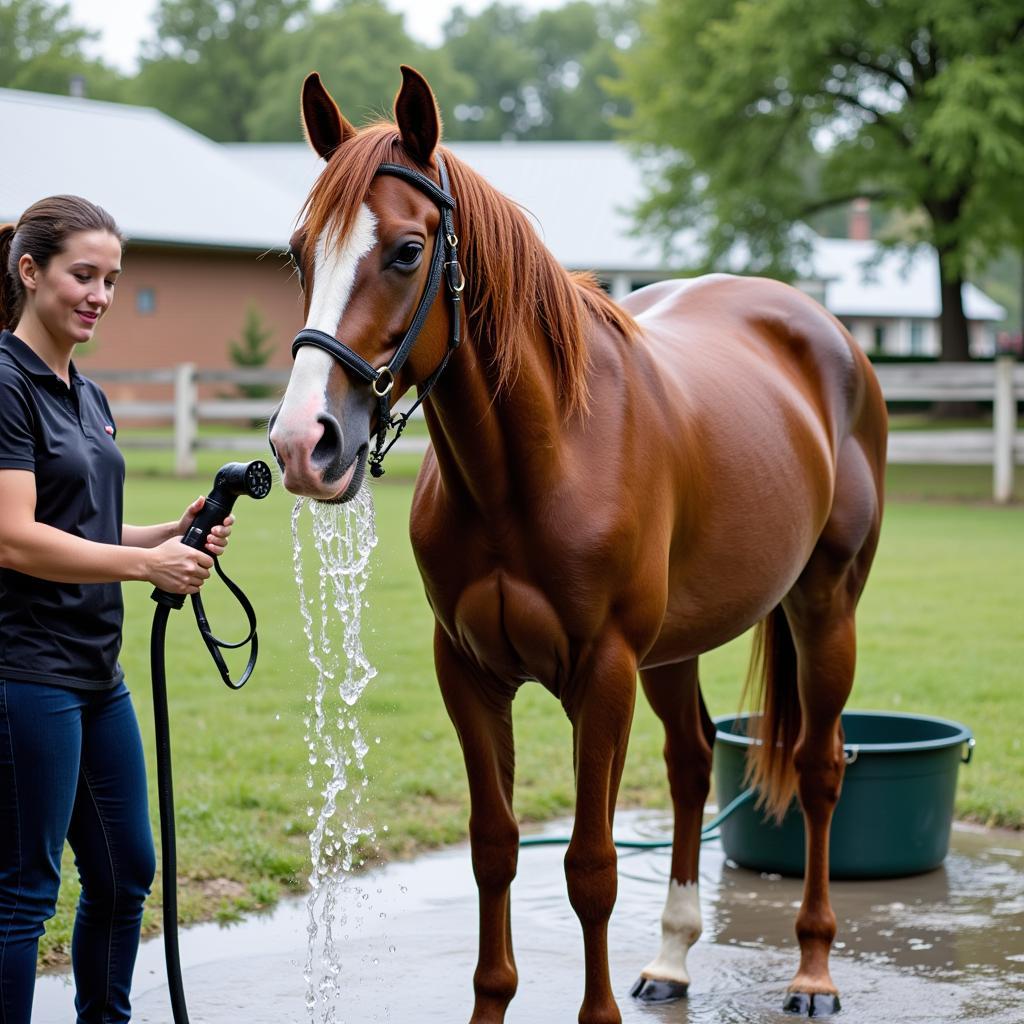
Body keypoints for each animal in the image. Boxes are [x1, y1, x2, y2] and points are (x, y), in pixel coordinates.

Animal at [268, 66, 884, 1024]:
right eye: (301, 255)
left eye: (405, 252)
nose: (306, 443)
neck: (535, 462)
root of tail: (826, 331)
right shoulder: (469, 673)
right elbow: (495, 847)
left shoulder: (602, 674)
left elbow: (590, 866)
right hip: (676, 646)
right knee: (691, 763)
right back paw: (671, 959)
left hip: (824, 608)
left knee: (820, 769)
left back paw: (813, 972)